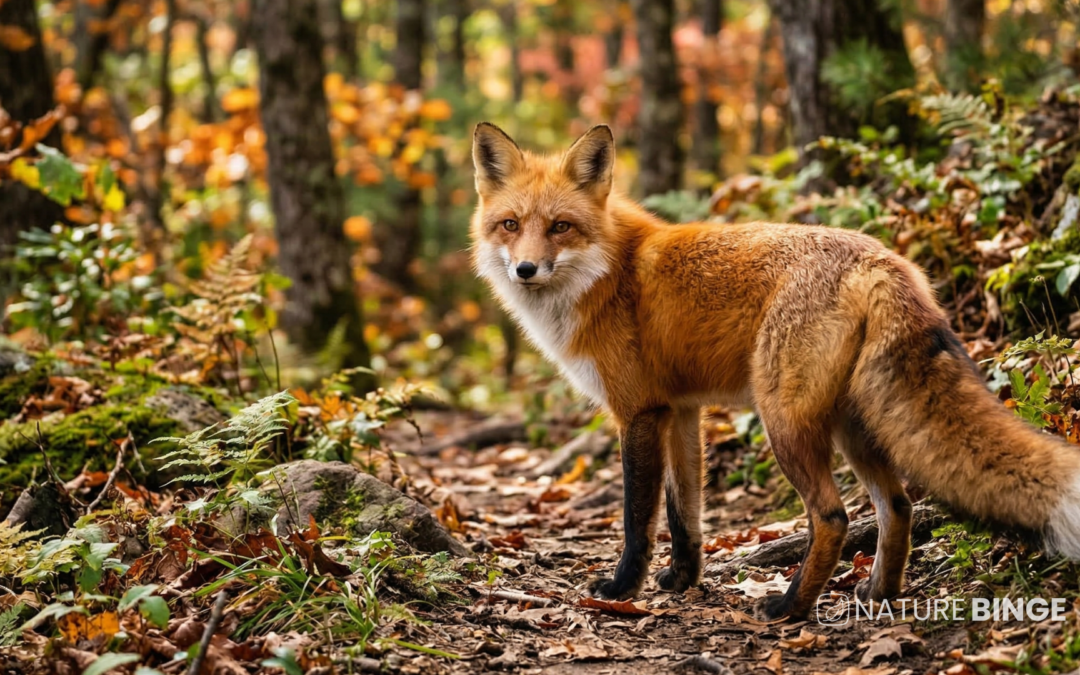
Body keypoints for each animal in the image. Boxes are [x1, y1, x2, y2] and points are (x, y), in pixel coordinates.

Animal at [468, 121, 1080, 620]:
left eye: (560, 227)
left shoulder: (639, 411)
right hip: (853, 426)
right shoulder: (681, 411)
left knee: (832, 517)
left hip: (782, 420)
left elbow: (637, 518)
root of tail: (881, 259)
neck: (606, 273)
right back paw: (877, 594)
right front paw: (683, 580)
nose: (525, 269)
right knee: (897, 506)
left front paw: (622, 590)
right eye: (510, 224)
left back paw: (790, 607)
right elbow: (685, 512)